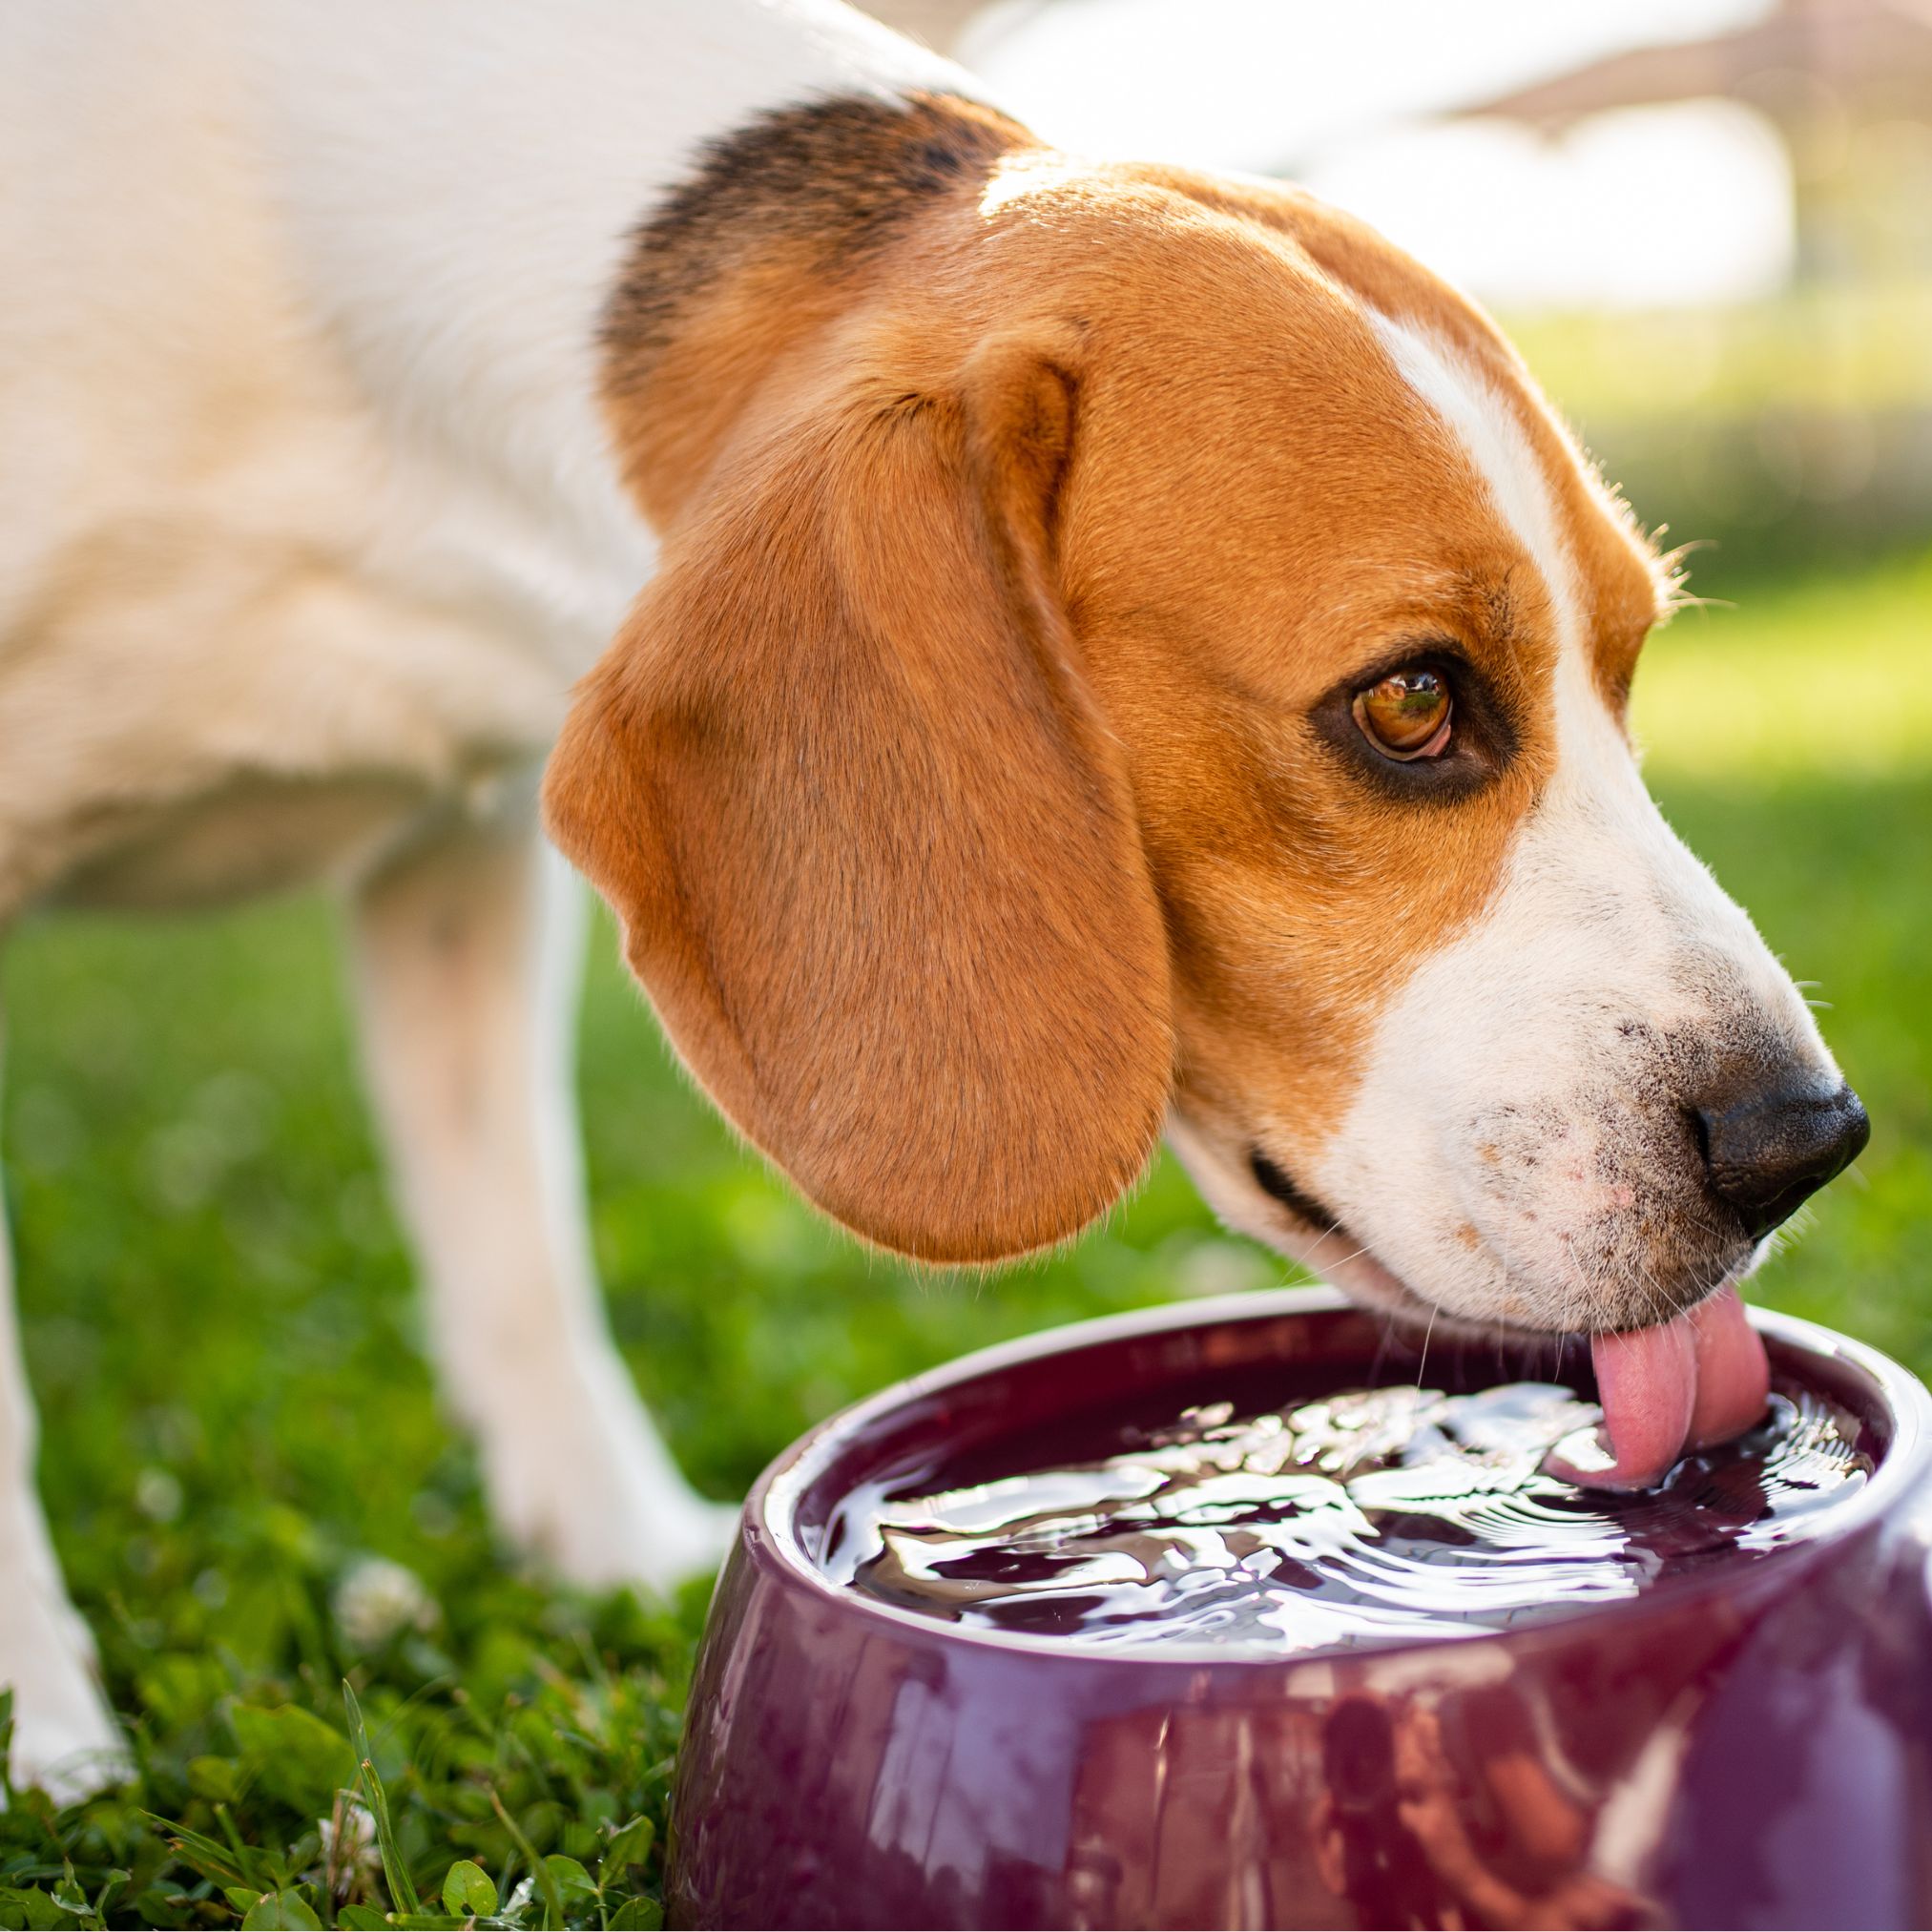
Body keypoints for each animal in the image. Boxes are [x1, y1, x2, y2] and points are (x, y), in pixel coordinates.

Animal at [0, 0, 1870, 1793]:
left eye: (1628, 665)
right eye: (1411, 703)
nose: (1803, 1141)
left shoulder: (460, 853)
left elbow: (518, 1243)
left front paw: (613, 1554)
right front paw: (50, 1755)